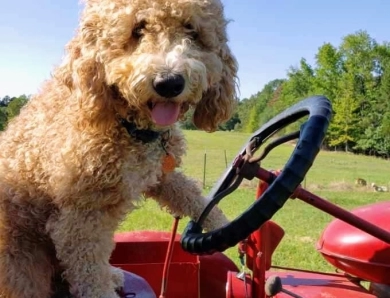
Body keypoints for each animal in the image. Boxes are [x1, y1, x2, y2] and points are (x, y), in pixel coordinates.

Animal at [0, 0, 238, 298]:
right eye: (138, 29)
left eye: (191, 30)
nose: (169, 82)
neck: (126, 126)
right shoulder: (79, 218)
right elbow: (90, 273)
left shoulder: (158, 173)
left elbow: (191, 195)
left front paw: (224, 226)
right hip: (22, 262)